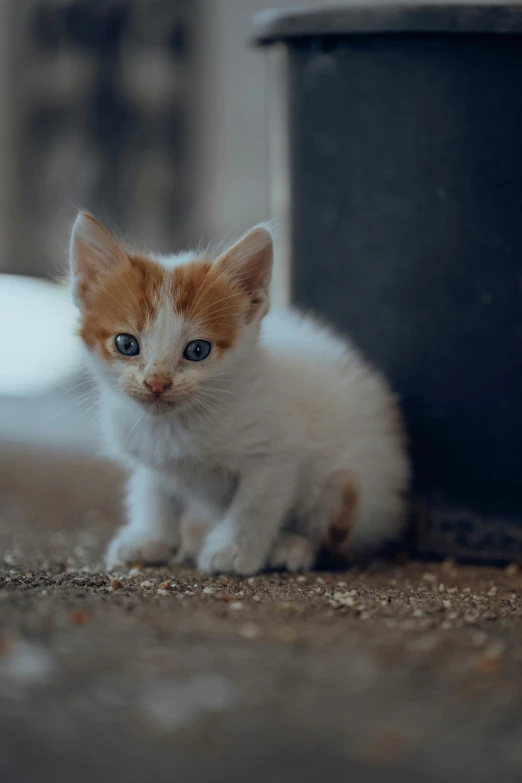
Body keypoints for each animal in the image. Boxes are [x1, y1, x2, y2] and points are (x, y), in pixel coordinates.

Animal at [70, 213, 410, 576]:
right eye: (126, 343)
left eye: (198, 350)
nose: (157, 383)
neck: (176, 427)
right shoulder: (147, 450)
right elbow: (154, 491)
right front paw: (151, 539)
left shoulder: (277, 455)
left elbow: (254, 506)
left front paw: (233, 551)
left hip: (351, 479)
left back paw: (294, 547)